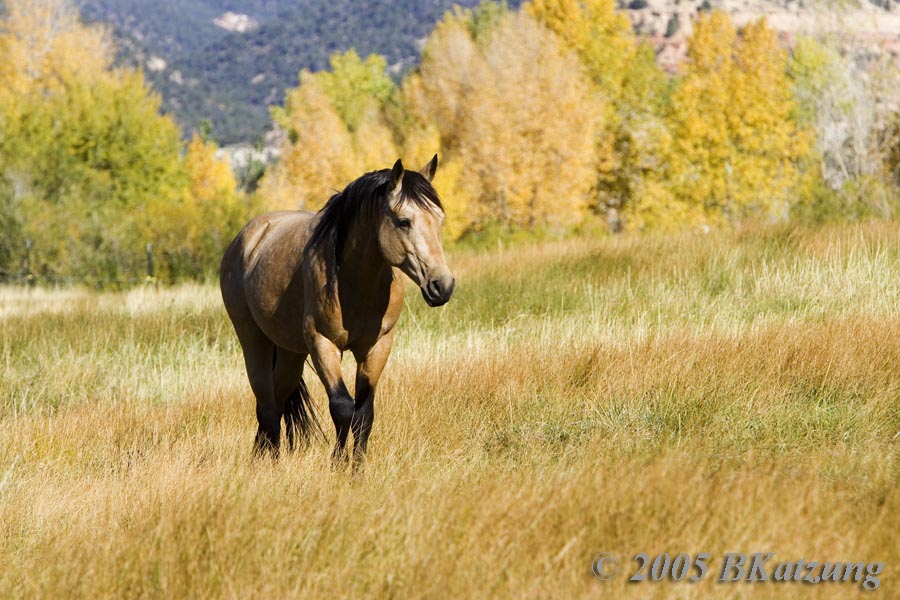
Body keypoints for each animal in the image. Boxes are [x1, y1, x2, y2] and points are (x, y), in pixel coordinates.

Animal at [219, 157, 454, 467]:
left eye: (439, 219)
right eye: (404, 221)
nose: (442, 285)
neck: (353, 282)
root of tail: (247, 238)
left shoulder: (377, 346)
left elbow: (364, 413)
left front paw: (357, 468)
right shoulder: (323, 344)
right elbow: (342, 407)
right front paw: (339, 464)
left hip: (291, 353)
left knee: (277, 400)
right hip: (253, 340)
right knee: (265, 404)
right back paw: (267, 462)